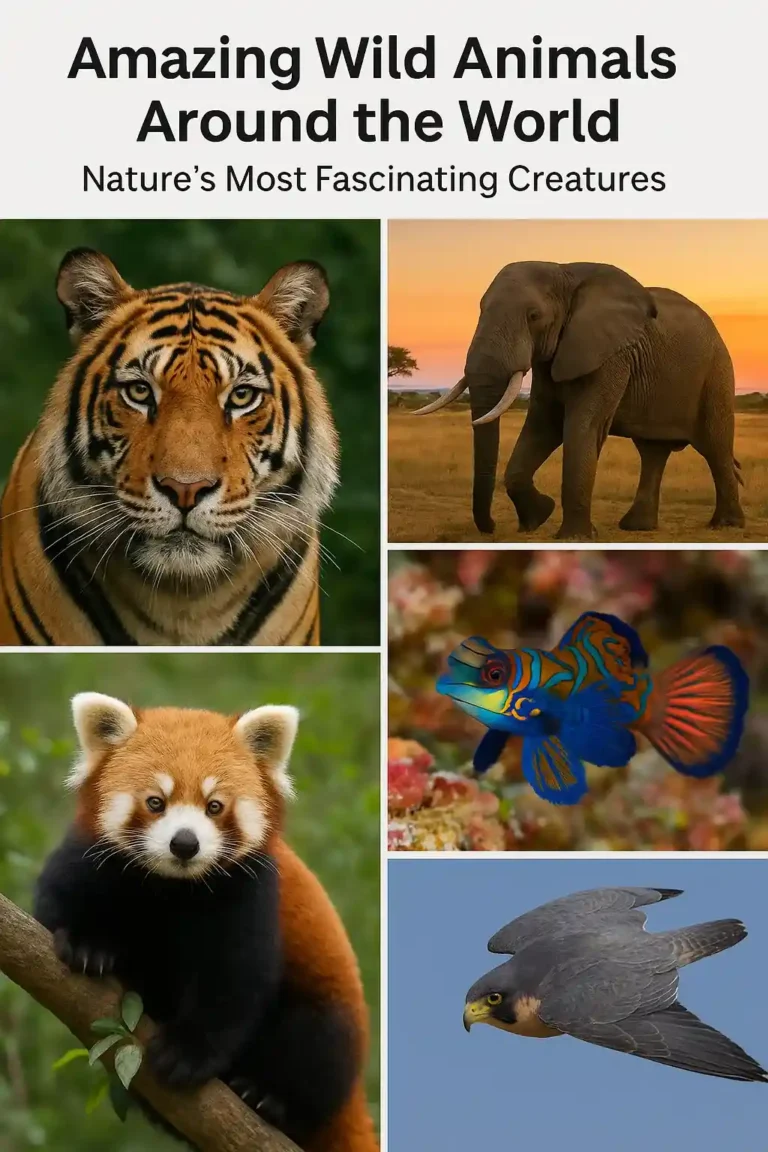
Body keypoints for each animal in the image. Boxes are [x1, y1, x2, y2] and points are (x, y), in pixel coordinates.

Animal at [414, 261, 744, 540]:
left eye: (534, 316)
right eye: (480, 310)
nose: (492, 528)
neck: (564, 271)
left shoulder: (609, 355)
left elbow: (582, 426)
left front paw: (573, 537)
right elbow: (543, 425)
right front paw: (538, 517)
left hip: (717, 373)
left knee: (715, 446)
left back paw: (726, 525)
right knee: (652, 452)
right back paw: (637, 527)